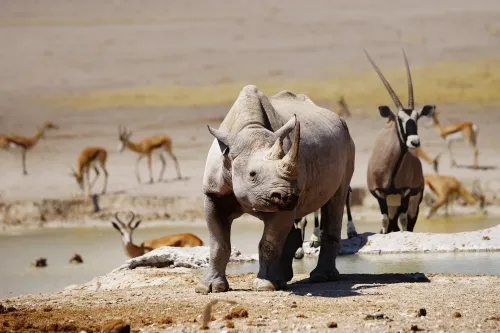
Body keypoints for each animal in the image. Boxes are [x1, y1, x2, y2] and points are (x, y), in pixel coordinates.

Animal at [366, 49, 436, 232]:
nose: (414, 142)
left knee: (407, 222)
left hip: (413, 202)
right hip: (393, 204)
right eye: (399, 118)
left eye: (417, 118)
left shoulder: (405, 192)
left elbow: (403, 221)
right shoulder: (379, 193)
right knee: (391, 223)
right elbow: (384, 221)